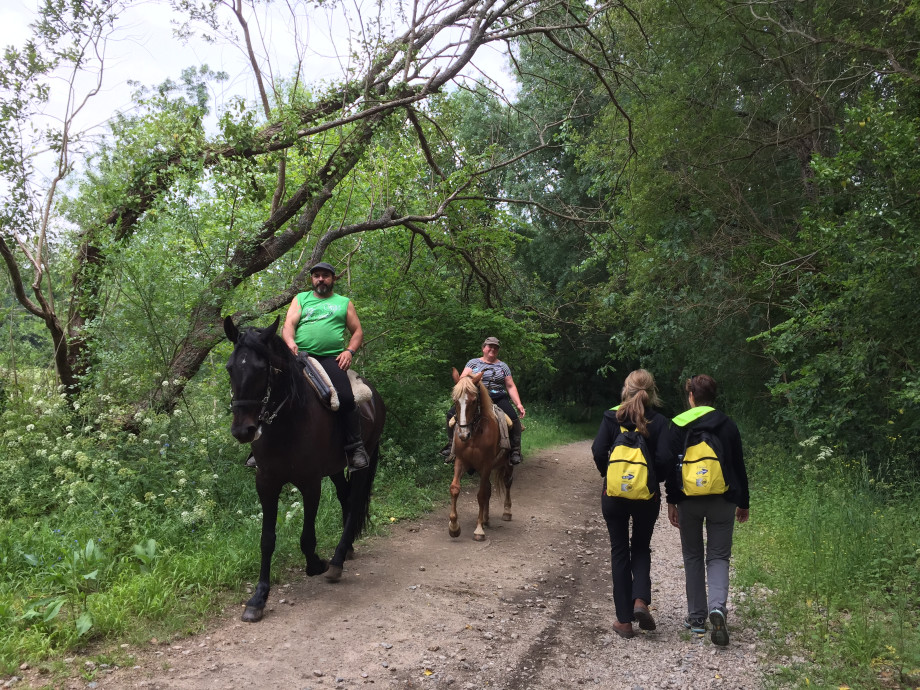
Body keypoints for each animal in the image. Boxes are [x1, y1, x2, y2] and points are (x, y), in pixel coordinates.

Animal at [225, 314, 386, 620]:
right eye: (230, 368)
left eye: (262, 368)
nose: (243, 431)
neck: (288, 420)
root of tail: (375, 396)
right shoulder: (266, 483)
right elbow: (267, 539)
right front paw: (258, 598)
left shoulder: (310, 483)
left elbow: (307, 537)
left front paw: (316, 564)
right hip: (335, 468)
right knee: (345, 497)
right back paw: (347, 550)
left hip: (362, 462)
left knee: (355, 500)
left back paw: (336, 561)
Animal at [446, 368, 510, 540]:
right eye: (455, 400)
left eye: (474, 401)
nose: (463, 435)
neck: (475, 434)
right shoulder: (461, 461)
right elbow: (455, 488)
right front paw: (454, 527)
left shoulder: (487, 464)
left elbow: (481, 495)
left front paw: (479, 529)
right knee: (488, 488)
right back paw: (486, 519)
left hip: (507, 464)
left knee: (507, 483)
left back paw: (507, 511)